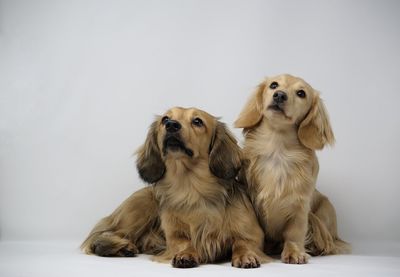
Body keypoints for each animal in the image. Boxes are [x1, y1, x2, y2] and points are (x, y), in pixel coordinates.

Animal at [81, 106, 268, 268]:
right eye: (165, 118)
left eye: (198, 121)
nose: (171, 125)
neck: (191, 188)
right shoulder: (175, 235)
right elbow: (183, 243)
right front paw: (186, 254)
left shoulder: (252, 234)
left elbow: (242, 243)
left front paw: (245, 256)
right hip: (140, 208)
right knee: (100, 237)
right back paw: (122, 246)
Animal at [234, 73, 350, 264]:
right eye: (274, 85)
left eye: (301, 93)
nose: (280, 95)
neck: (278, 148)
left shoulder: (299, 207)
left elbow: (294, 233)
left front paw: (294, 252)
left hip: (325, 210)